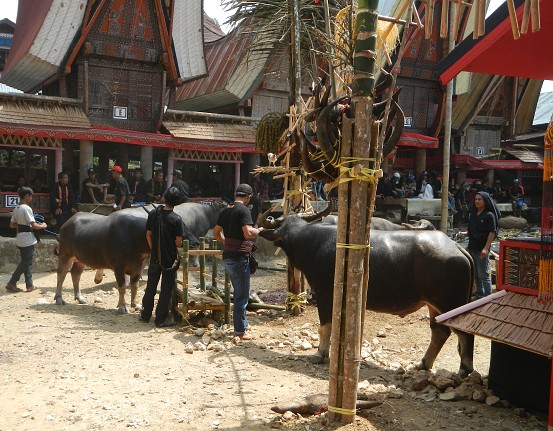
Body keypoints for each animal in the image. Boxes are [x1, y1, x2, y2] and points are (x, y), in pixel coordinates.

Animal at [258, 206, 474, 378]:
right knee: (440, 332)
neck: (311, 243)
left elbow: (325, 326)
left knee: (463, 333)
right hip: (433, 304)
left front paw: (320, 354)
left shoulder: (325, 294)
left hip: (450, 303)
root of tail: (456, 247)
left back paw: (464, 369)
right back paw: (423, 364)